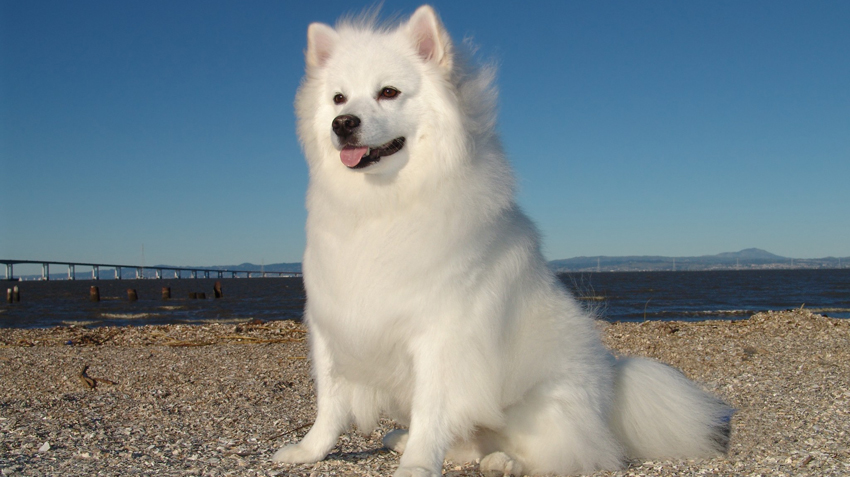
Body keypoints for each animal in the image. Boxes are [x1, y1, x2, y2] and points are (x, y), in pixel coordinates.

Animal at [274, 4, 728, 476]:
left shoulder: (441, 337)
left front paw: (417, 465)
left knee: (562, 452)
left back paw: (503, 460)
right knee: (467, 442)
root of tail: (612, 393)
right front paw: (309, 451)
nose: (343, 124)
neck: (381, 206)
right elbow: (329, 405)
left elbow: (431, 411)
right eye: (338, 99)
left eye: (388, 92)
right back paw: (408, 440)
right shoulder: (332, 324)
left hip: (541, 404)